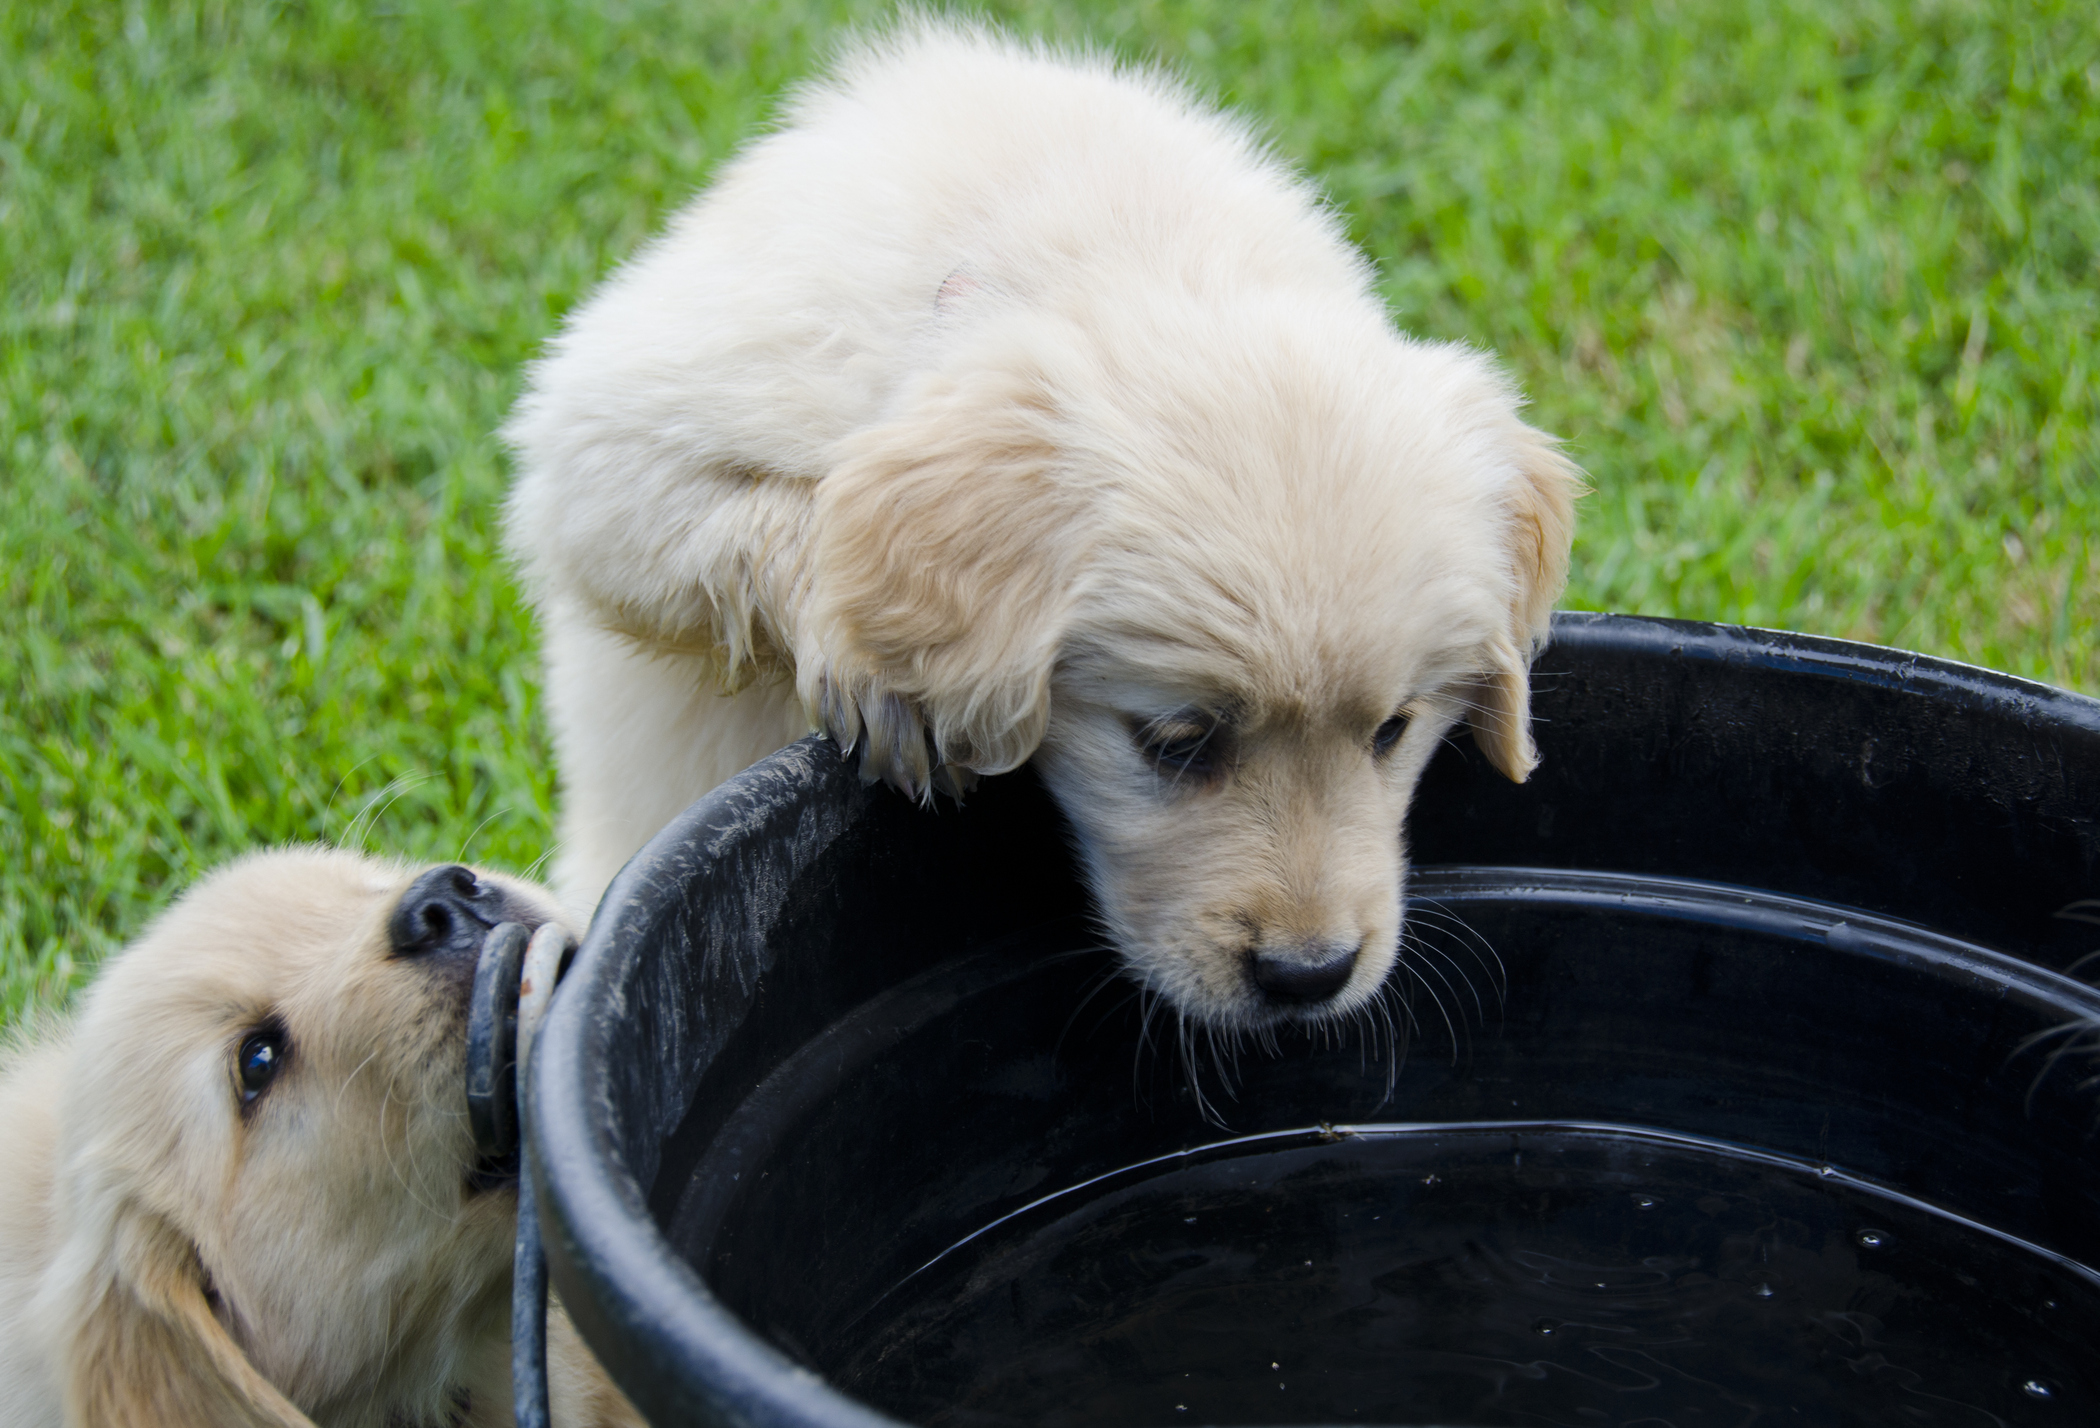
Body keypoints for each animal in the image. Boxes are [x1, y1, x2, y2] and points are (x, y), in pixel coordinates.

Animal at [503, 19, 1579, 1024]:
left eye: (1394, 729)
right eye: (1175, 743)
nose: (1309, 976)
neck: (1130, 252)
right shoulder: (609, 441)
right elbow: (780, 520)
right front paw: (884, 677)